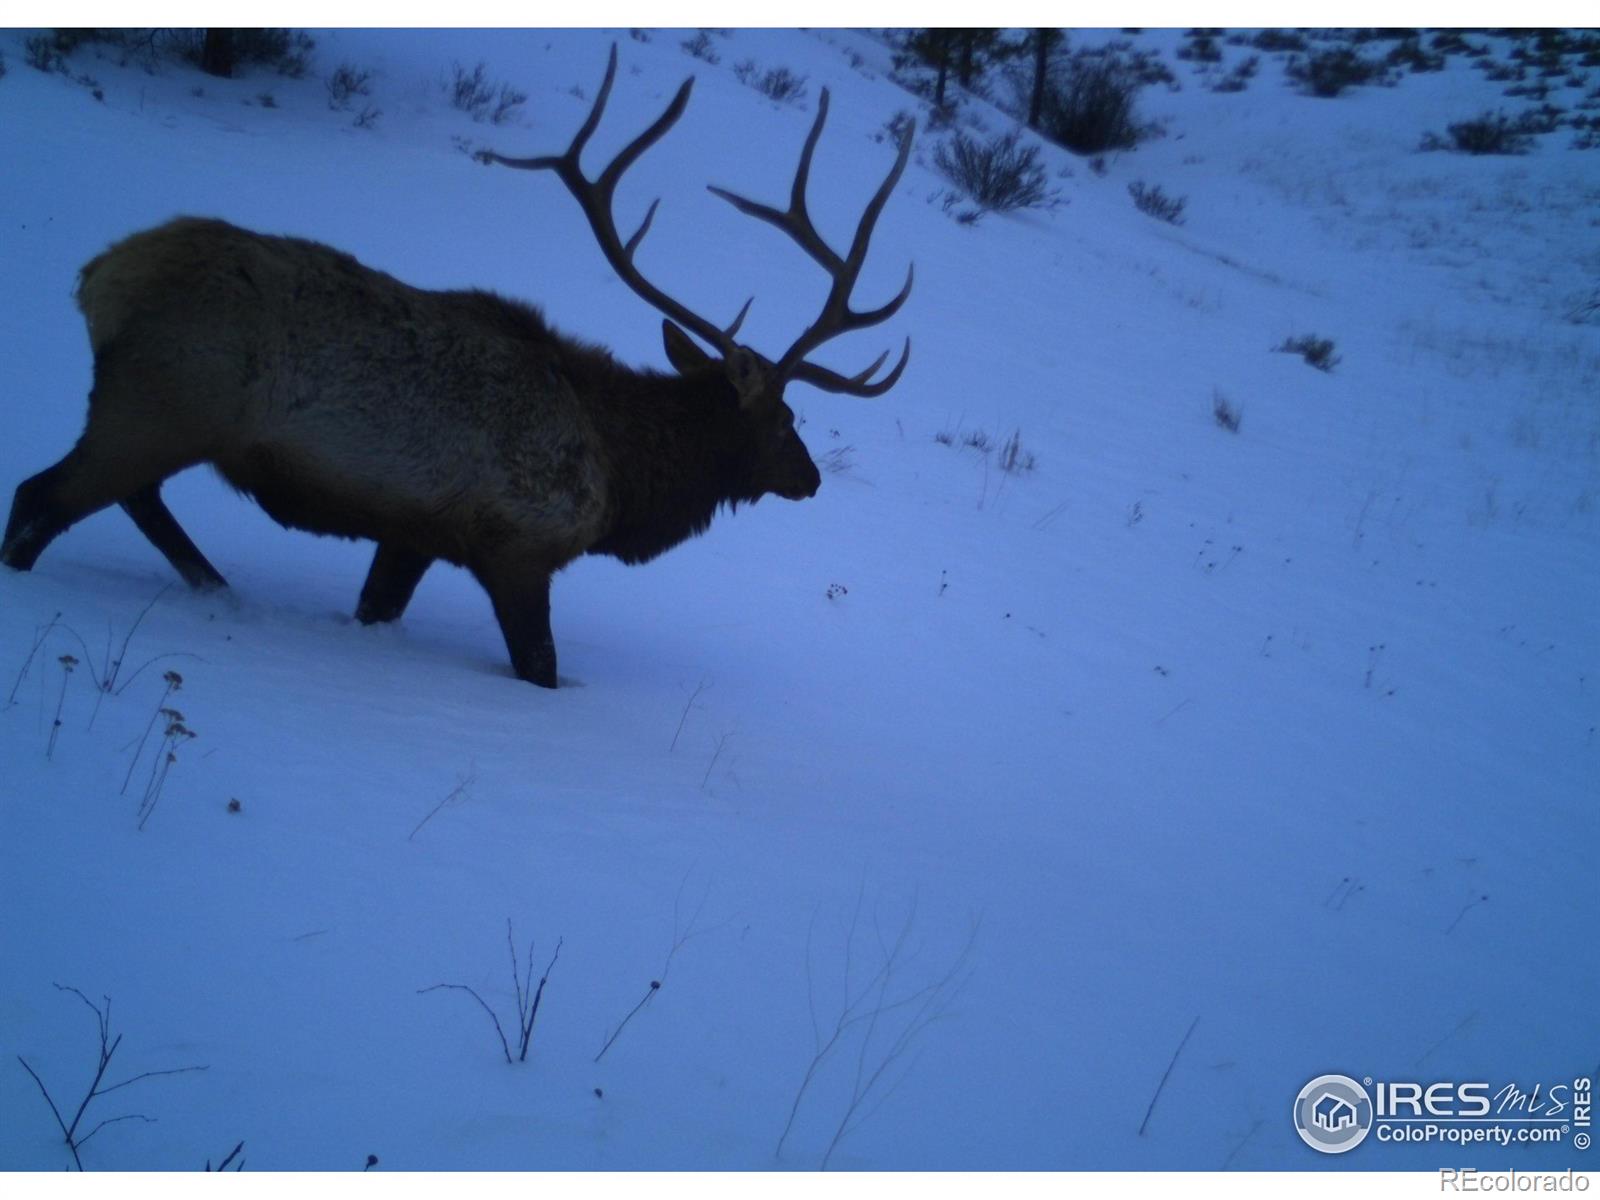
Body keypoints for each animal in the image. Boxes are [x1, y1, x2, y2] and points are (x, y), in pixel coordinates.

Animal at [0, 49, 915, 684]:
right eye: (787, 421)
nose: (812, 479)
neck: (621, 475)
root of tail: (101, 277)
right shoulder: (518, 545)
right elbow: (540, 669)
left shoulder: (413, 533)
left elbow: (375, 609)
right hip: (160, 403)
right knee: (42, 498)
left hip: (157, 415)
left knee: (131, 499)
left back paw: (215, 587)